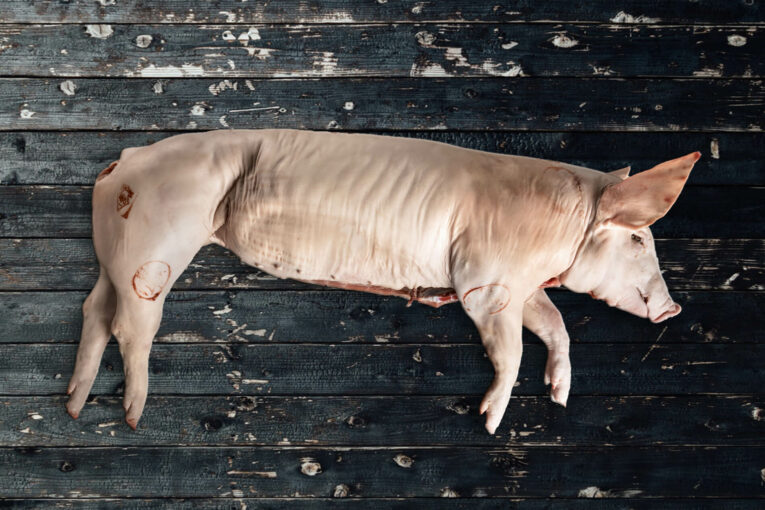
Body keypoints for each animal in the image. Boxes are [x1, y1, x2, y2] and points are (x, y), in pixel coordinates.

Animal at [66, 129, 699, 434]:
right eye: (640, 240)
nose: (674, 310)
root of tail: (125, 159)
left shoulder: (520, 284)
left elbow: (556, 323)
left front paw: (561, 397)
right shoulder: (485, 283)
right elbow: (512, 349)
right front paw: (489, 423)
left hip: (116, 253)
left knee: (93, 310)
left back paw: (74, 407)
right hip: (156, 246)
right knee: (131, 325)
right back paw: (132, 417)